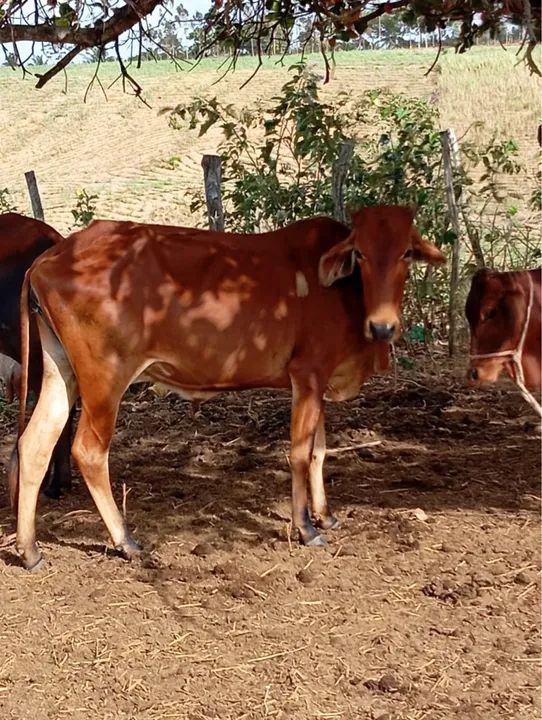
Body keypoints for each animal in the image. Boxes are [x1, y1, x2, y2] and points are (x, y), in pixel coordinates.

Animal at [10, 206, 446, 570]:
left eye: (407, 253)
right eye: (362, 255)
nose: (384, 326)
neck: (344, 295)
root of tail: (51, 257)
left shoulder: (317, 382)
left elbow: (319, 452)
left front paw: (326, 515)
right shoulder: (306, 373)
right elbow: (300, 453)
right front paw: (306, 527)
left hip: (60, 371)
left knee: (34, 444)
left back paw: (30, 549)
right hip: (106, 378)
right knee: (88, 450)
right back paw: (125, 540)